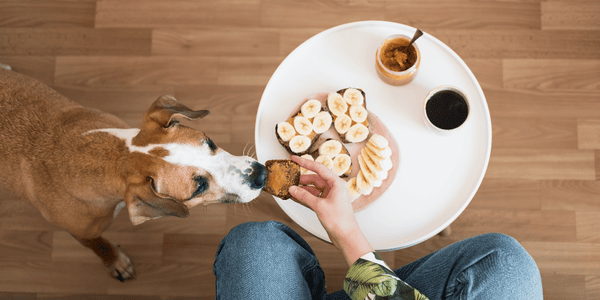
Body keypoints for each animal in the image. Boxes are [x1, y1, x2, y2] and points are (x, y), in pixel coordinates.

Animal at [0, 68, 268, 282]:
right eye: (199, 187)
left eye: (209, 141)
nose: (261, 175)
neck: (114, 157)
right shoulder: (82, 231)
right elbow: (99, 245)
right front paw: (116, 263)